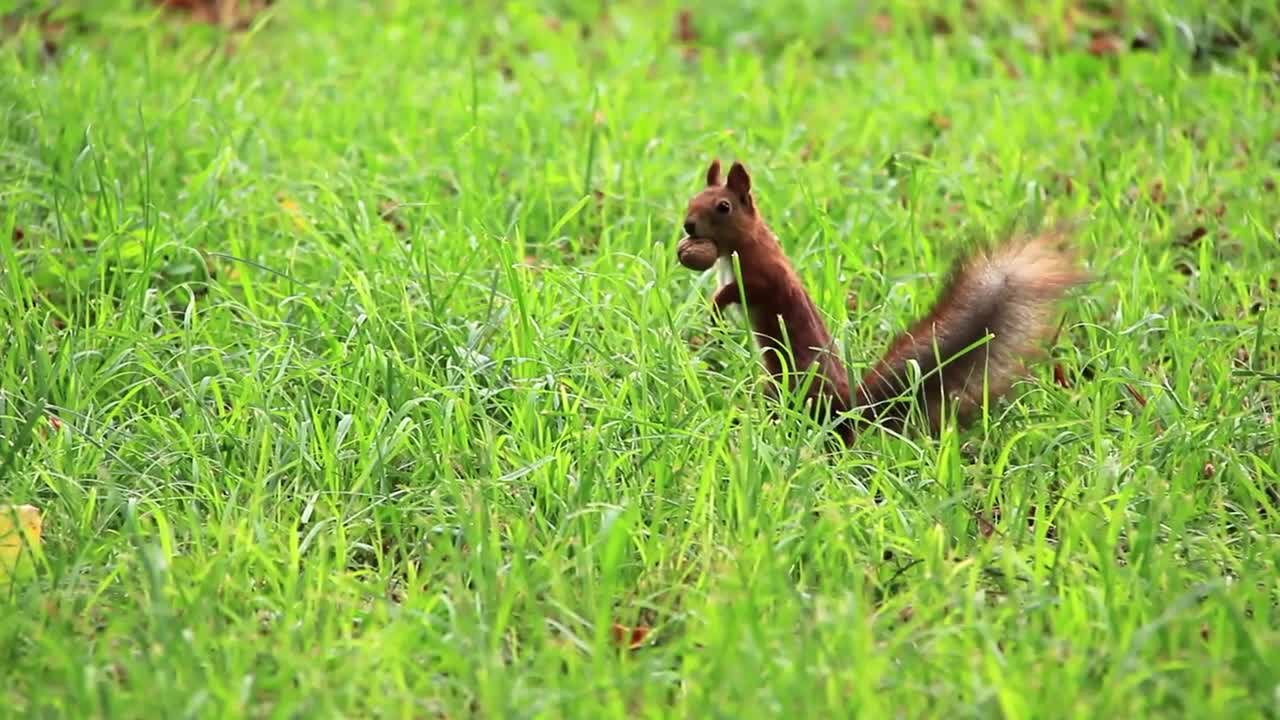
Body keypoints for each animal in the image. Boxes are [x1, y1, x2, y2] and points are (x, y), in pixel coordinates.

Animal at [675, 159, 1085, 445]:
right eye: (692, 199)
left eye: (723, 207)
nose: (688, 226)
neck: (740, 245)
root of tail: (852, 406)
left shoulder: (765, 276)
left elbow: (744, 291)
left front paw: (716, 307)